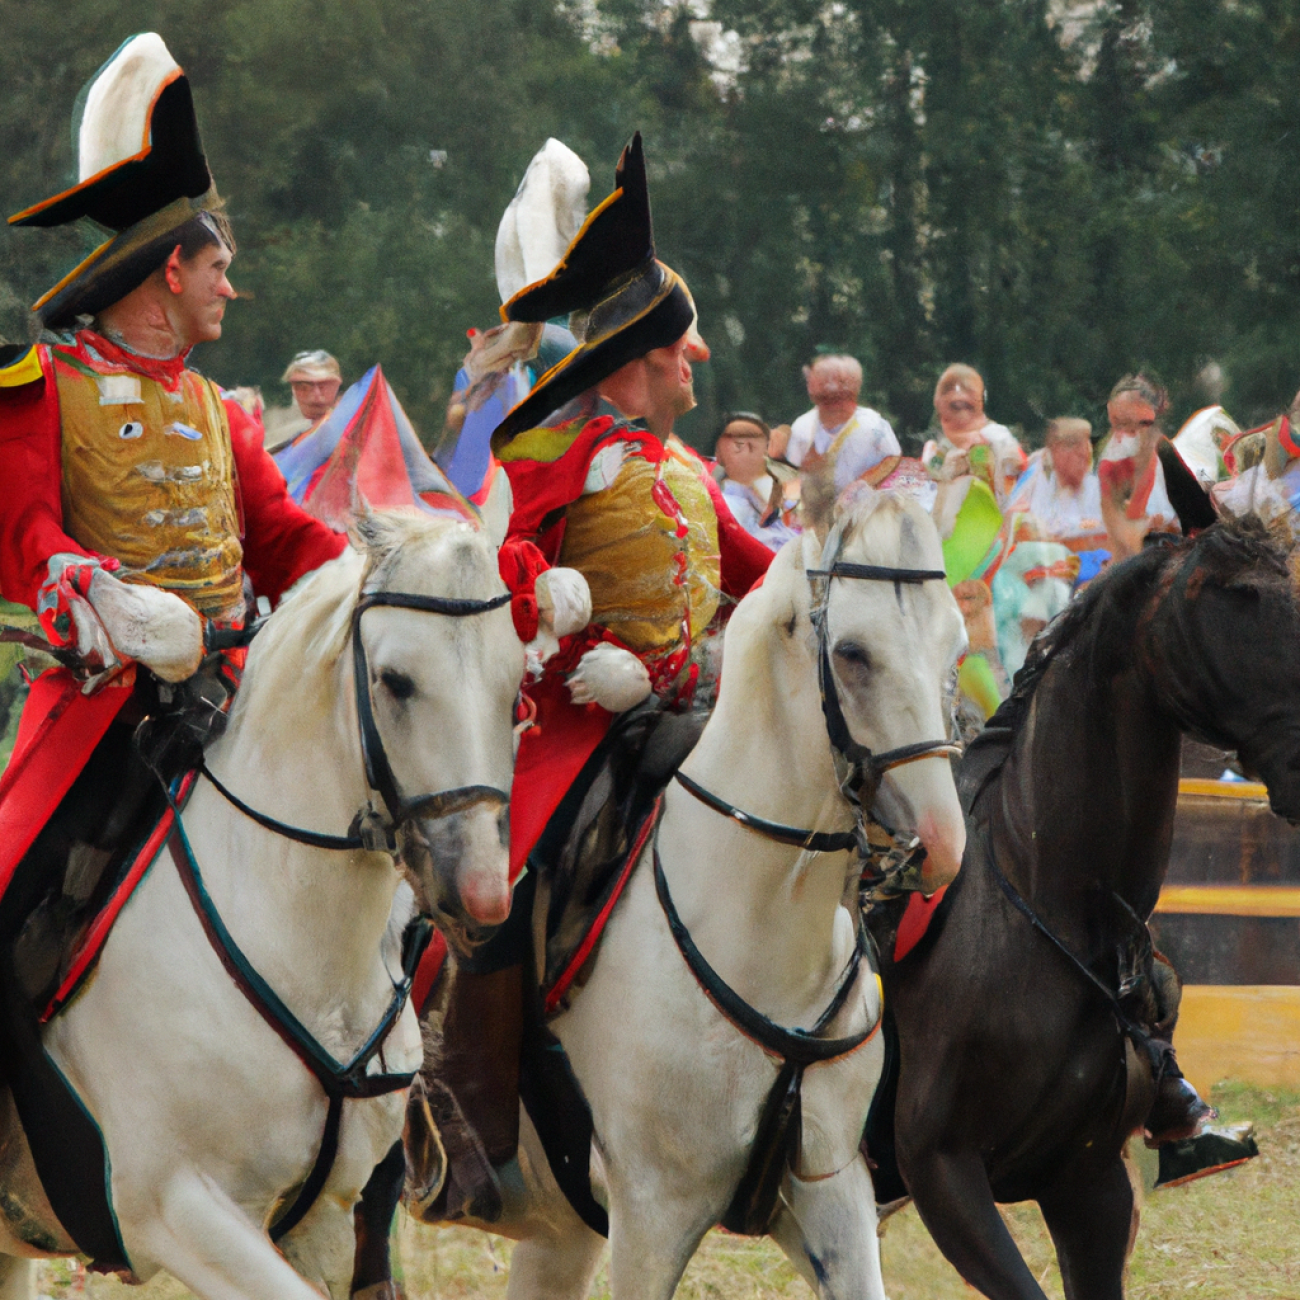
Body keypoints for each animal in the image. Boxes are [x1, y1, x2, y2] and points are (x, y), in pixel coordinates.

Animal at [410, 488, 972, 1300]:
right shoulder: (652, 1212)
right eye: (853, 652)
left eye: (955, 646)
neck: (758, 930)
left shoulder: (832, 1194)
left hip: (561, 1232)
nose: (941, 844)